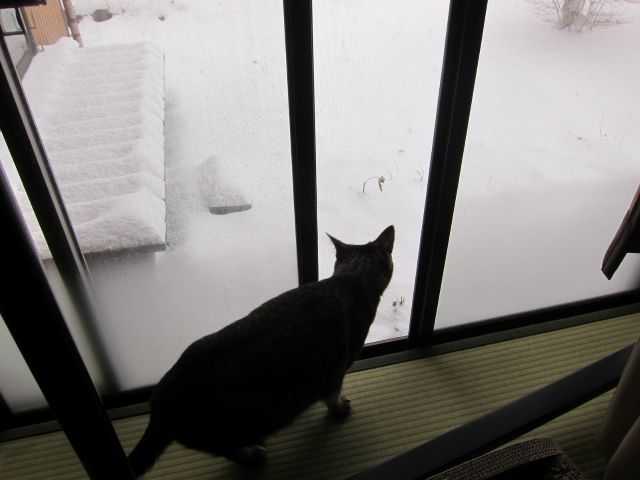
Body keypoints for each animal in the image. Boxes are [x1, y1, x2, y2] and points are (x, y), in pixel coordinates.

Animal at [128, 225, 395, 477]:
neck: (351, 279)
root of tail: (158, 406)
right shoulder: (336, 369)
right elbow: (332, 396)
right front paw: (340, 409)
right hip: (225, 430)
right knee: (228, 450)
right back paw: (252, 454)